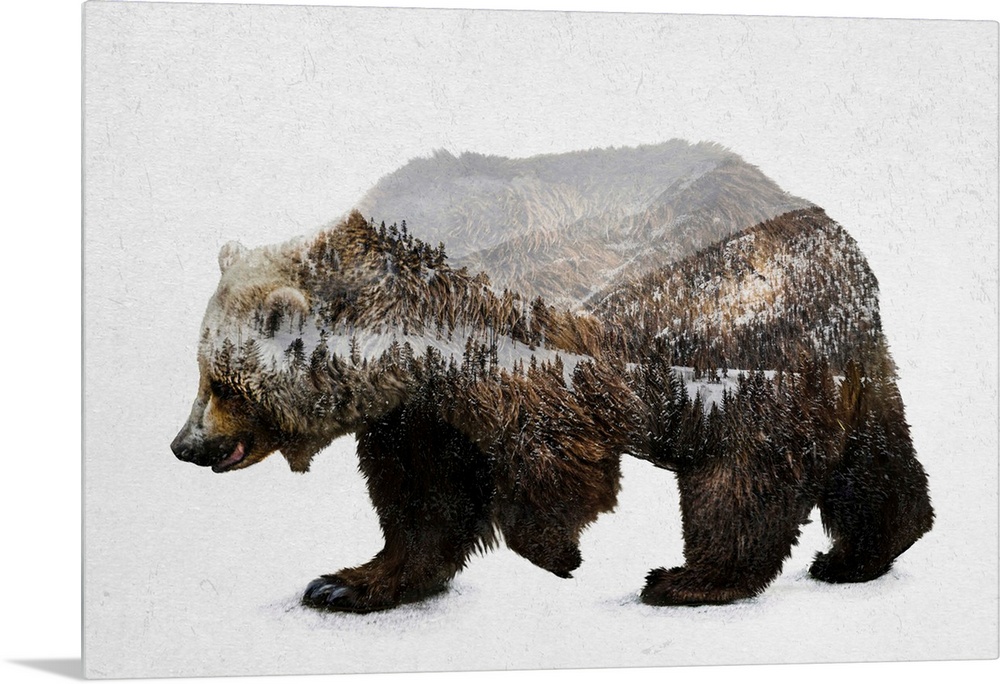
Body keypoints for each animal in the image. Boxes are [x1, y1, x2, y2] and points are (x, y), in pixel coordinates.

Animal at [172, 209, 934, 611]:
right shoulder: (419, 415)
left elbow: (555, 464)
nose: (184, 445)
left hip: (743, 360)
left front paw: (558, 554)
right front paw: (345, 582)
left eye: (225, 384)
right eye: (200, 373)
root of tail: (844, 250)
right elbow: (422, 503)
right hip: (853, 372)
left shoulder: (521, 370)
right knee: (874, 462)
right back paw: (861, 553)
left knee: (742, 478)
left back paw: (689, 579)